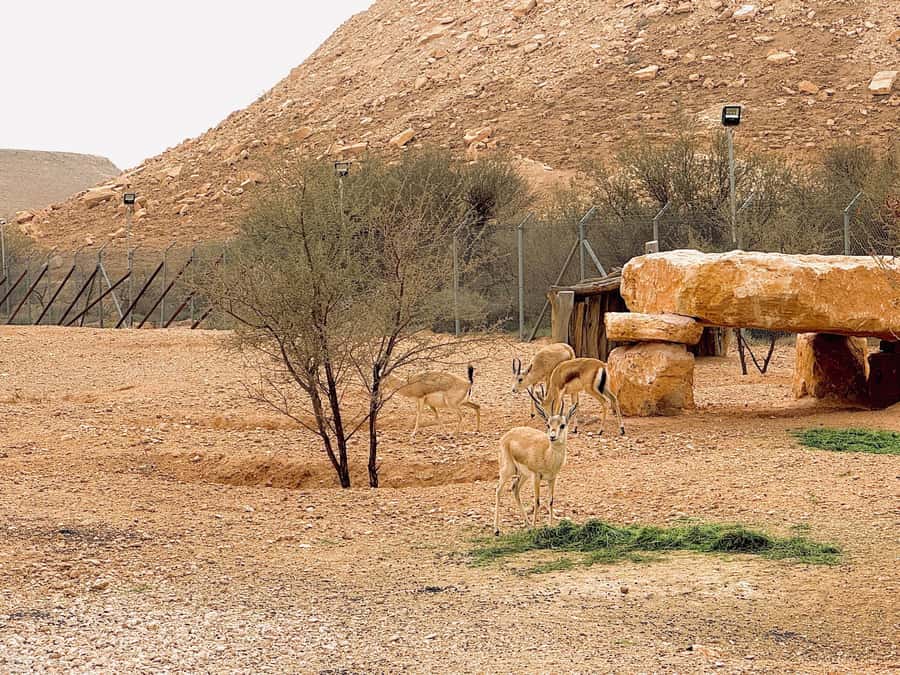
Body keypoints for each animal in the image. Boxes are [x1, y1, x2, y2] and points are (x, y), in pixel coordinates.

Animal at [493, 389, 577, 535]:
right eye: (548, 425)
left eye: (562, 425)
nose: (552, 436)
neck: (547, 456)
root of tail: (508, 434)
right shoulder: (537, 477)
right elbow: (537, 502)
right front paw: (535, 528)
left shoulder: (552, 478)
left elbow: (550, 501)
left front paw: (550, 526)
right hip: (507, 470)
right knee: (499, 490)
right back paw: (497, 529)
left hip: (523, 475)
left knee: (514, 488)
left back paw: (527, 524)